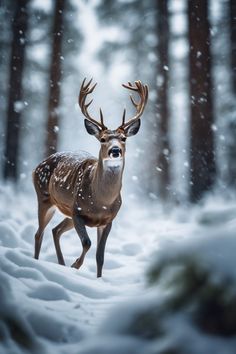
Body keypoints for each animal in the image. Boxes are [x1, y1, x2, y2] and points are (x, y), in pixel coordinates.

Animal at [32, 79, 148, 278]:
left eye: (124, 138)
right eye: (102, 139)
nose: (115, 150)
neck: (101, 202)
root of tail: (37, 166)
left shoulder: (108, 220)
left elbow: (100, 256)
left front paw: (97, 278)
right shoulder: (77, 211)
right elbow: (87, 243)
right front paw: (75, 265)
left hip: (66, 212)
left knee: (55, 230)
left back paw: (61, 265)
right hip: (45, 199)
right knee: (39, 233)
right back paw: (39, 263)